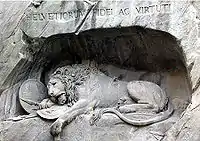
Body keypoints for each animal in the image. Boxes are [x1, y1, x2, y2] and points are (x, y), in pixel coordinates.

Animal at [44, 63, 173, 140]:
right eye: (48, 87)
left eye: (54, 83)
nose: (50, 94)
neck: (75, 82)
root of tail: (164, 93)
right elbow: (69, 111)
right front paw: (45, 103)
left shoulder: (87, 101)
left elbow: (67, 112)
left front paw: (56, 126)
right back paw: (122, 103)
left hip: (133, 84)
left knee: (155, 107)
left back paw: (125, 108)